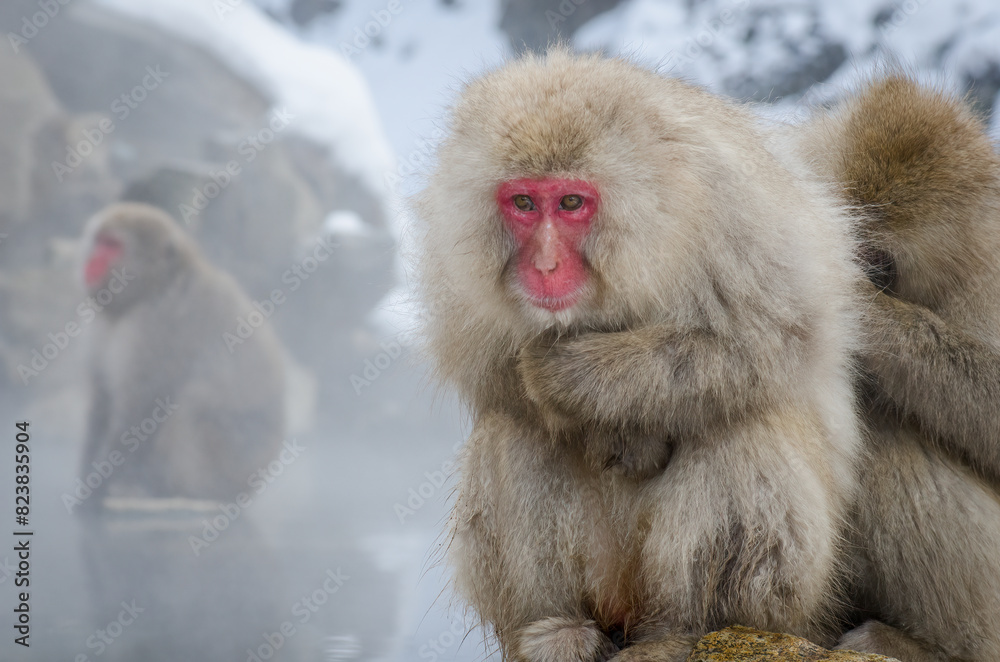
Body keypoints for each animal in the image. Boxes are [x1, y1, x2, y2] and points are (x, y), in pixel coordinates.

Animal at [77, 202, 286, 509]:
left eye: (113, 246)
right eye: (100, 241)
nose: (91, 261)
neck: (155, 286)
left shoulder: (156, 325)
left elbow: (143, 410)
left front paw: (95, 490)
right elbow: (102, 398)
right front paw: (85, 479)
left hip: (225, 463)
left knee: (192, 401)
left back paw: (165, 489)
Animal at [416, 49, 864, 662]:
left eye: (572, 202)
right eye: (524, 203)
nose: (546, 266)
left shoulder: (734, 206)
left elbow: (771, 337)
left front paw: (579, 380)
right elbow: (483, 365)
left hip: (796, 606)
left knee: (739, 422)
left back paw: (691, 628)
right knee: (514, 429)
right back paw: (557, 629)